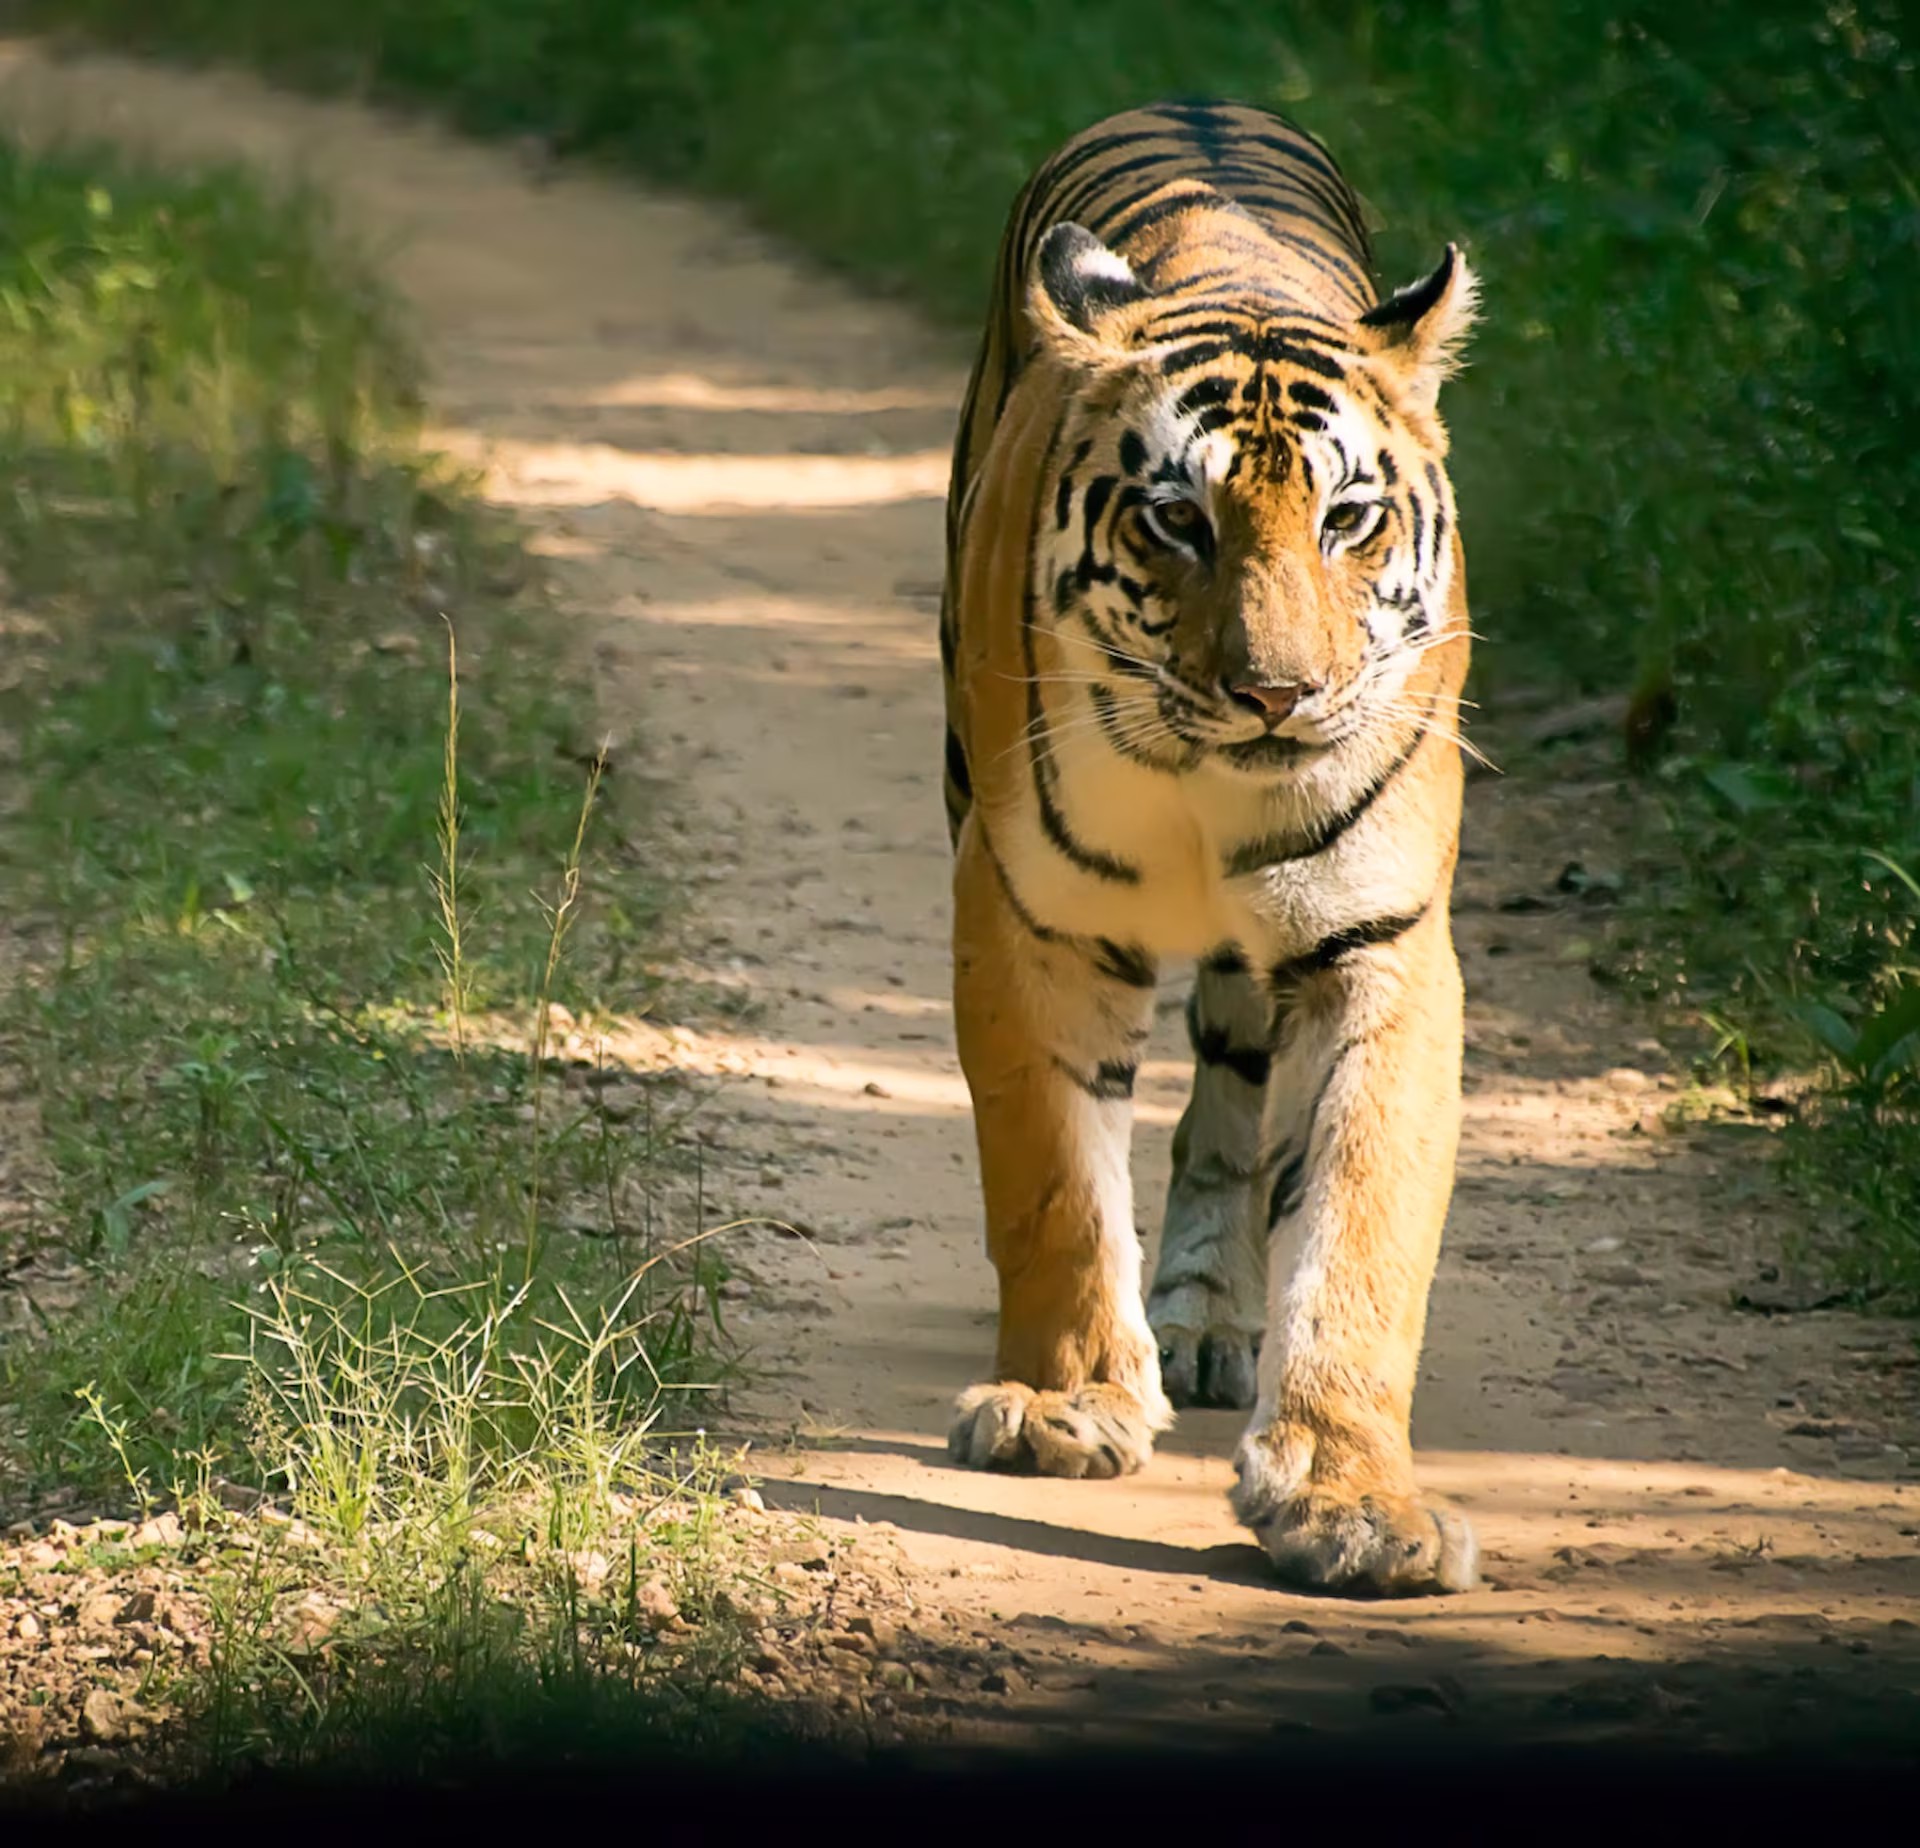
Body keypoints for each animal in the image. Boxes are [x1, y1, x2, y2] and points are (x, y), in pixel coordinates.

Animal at [938, 99, 1480, 1596]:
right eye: (1177, 518)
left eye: (1349, 518)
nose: (1276, 695)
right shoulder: (1026, 914)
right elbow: (1051, 1178)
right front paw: (1062, 1407)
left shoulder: (1383, 945)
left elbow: (1361, 1228)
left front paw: (1353, 1501)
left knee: (1232, 1107)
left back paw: (1207, 1316)